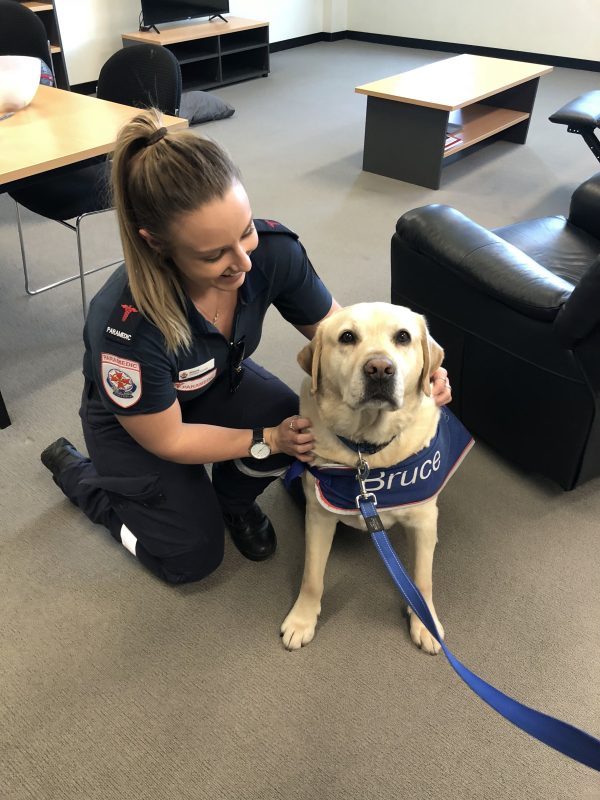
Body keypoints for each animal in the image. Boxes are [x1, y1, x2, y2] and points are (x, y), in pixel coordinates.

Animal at [280, 302, 468, 656]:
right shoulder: (319, 515)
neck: (365, 451)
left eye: (403, 337)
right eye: (347, 337)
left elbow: (422, 579)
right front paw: (302, 619)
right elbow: (312, 575)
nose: (380, 368)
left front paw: (425, 622)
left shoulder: (422, 518)